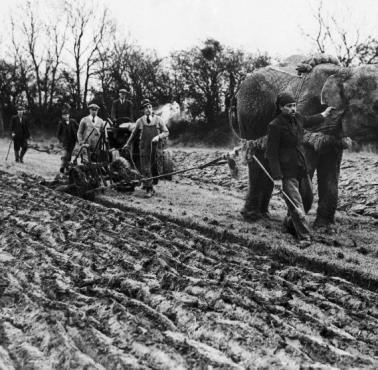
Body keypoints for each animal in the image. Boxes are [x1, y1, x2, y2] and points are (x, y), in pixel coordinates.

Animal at [230, 55, 378, 225]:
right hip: (249, 116)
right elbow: (303, 161)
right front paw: (292, 221)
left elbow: (331, 167)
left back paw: (265, 215)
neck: (344, 71)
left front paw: (323, 227)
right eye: (376, 106)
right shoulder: (306, 106)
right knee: (256, 158)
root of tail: (236, 93)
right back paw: (252, 217)